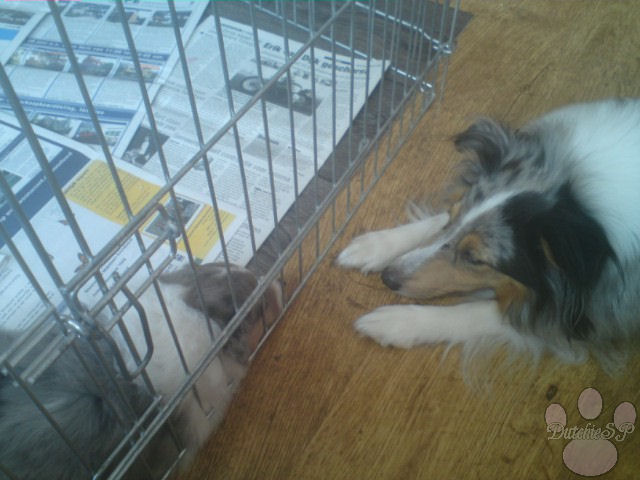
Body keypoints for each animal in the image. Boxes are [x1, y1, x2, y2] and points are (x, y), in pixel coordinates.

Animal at [338, 98, 640, 372]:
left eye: (475, 259)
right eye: (452, 214)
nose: (387, 278)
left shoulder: (581, 318)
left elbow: (476, 312)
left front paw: (396, 322)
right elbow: (432, 223)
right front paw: (372, 246)